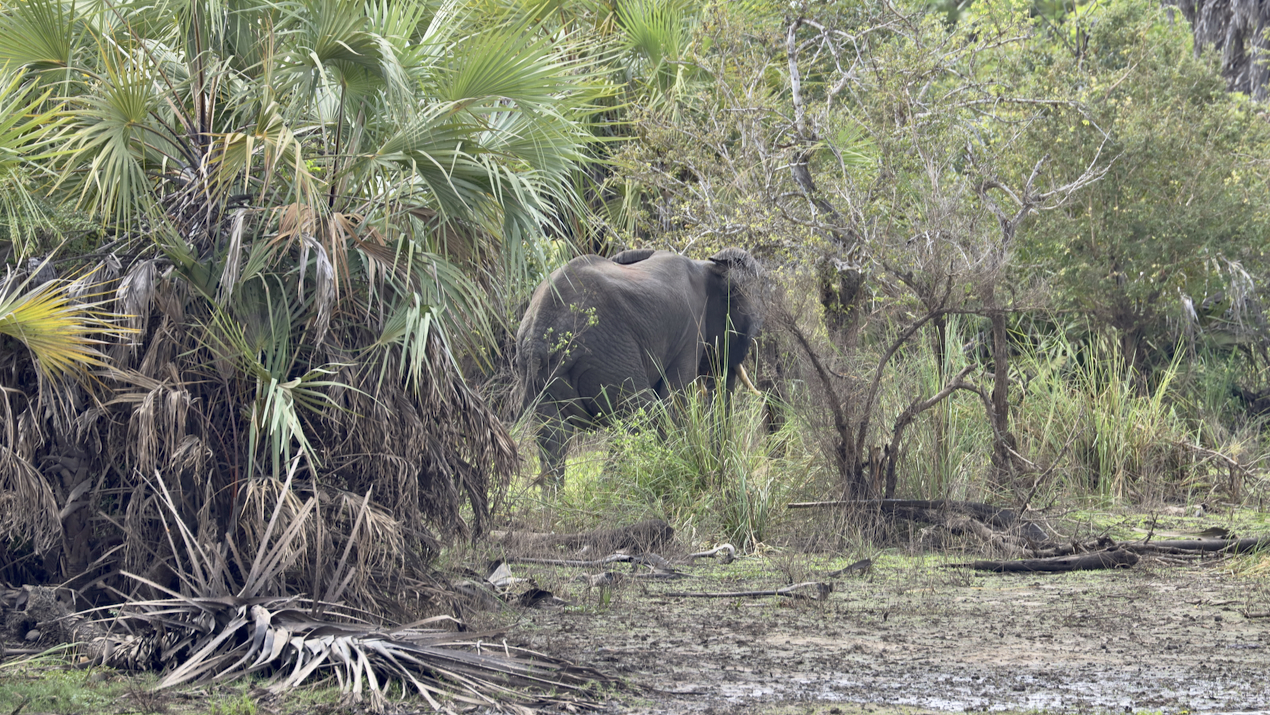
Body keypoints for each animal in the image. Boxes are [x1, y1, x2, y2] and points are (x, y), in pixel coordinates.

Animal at [513, 246, 762, 487]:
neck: (706, 267)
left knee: (553, 439)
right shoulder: (690, 331)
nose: (721, 472)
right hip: (607, 354)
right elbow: (674, 399)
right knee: (641, 416)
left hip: (540, 373)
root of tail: (538, 332)